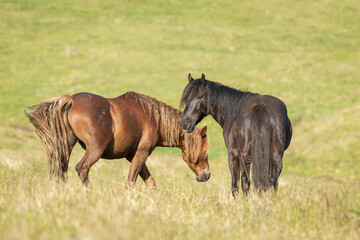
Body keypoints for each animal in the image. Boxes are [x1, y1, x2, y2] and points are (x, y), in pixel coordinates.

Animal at [26, 91, 211, 188]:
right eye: (205, 151)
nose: (207, 175)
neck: (154, 118)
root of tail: (71, 100)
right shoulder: (141, 154)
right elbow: (131, 181)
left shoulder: (133, 156)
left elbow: (150, 182)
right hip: (95, 150)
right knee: (82, 168)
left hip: (67, 146)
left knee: (62, 170)